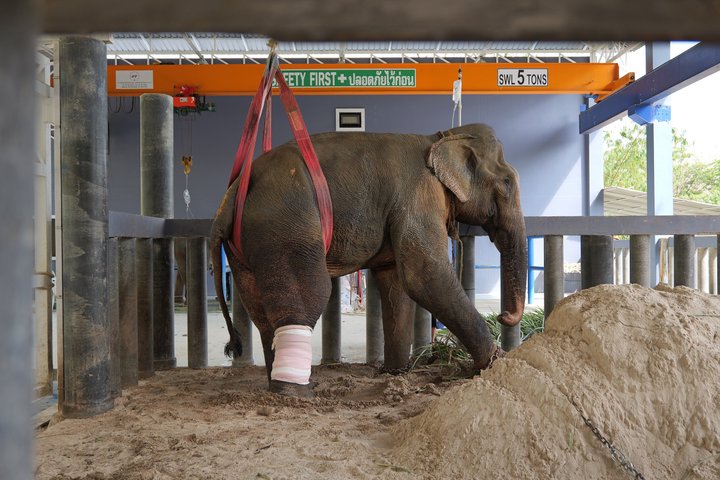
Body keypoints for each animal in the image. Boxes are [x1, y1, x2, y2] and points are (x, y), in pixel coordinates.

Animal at [210, 123, 527, 396]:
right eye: (507, 183)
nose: (503, 315)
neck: (441, 136)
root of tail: (230, 196)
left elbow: (396, 284)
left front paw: (396, 373)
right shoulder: (420, 198)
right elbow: (425, 276)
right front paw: (497, 362)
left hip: (245, 248)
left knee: (262, 313)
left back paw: (277, 383)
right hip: (287, 226)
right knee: (309, 296)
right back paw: (295, 392)